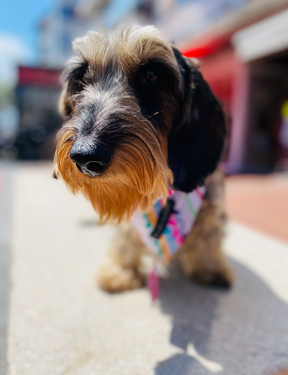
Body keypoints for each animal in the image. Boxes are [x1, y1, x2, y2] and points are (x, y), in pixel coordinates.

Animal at [53, 25, 234, 294]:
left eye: (151, 74)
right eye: (81, 76)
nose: (86, 156)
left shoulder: (213, 202)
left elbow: (208, 232)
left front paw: (209, 266)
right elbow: (125, 237)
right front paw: (121, 270)